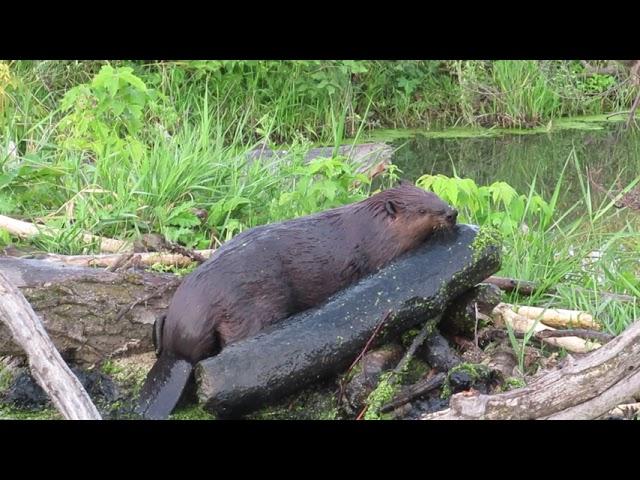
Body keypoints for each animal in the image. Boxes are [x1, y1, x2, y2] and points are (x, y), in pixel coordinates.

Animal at [136, 182, 456, 418]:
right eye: (424, 209)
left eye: (435, 194)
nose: (452, 213)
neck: (370, 224)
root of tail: (178, 352)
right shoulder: (379, 253)